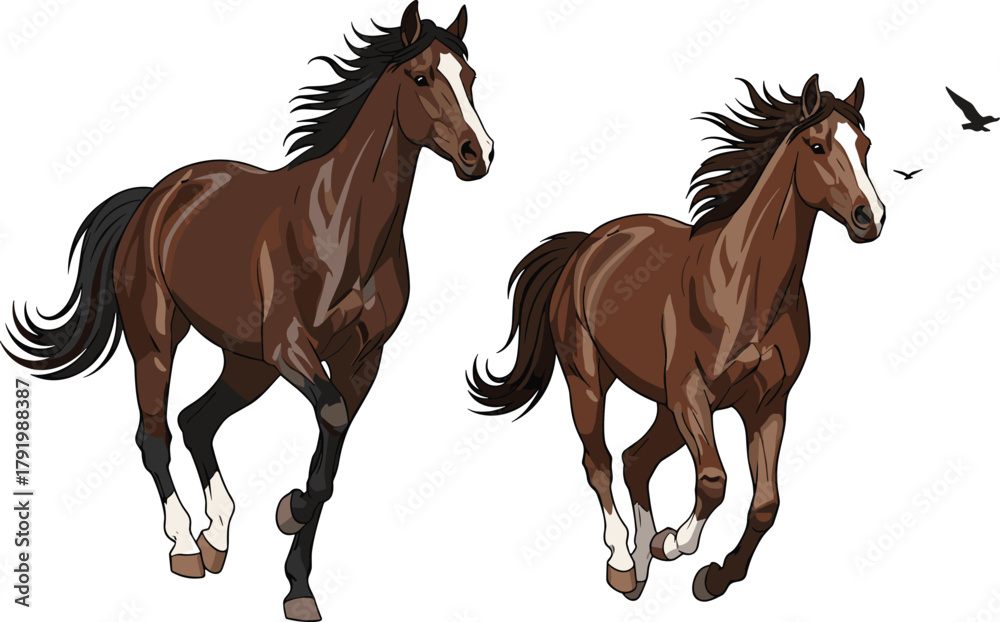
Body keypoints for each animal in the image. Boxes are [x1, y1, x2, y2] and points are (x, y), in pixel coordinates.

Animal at [5, 3, 492, 620]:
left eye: (470, 77)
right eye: (422, 77)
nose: (479, 154)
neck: (344, 228)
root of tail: (155, 197)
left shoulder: (361, 361)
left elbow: (332, 453)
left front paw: (298, 585)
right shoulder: (292, 349)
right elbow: (329, 427)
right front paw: (289, 511)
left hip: (248, 364)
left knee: (196, 421)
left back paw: (217, 536)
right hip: (159, 342)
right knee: (155, 435)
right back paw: (186, 547)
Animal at [469, 74, 882, 602]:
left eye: (865, 146)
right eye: (817, 145)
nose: (870, 217)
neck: (746, 286)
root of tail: (585, 246)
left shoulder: (768, 403)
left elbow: (765, 503)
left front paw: (714, 576)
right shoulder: (692, 394)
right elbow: (713, 480)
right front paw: (673, 544)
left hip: (665, 407)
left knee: (634, 460)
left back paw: (643, 562)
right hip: (589, 381)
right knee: (600, 461)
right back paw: (625, 561)